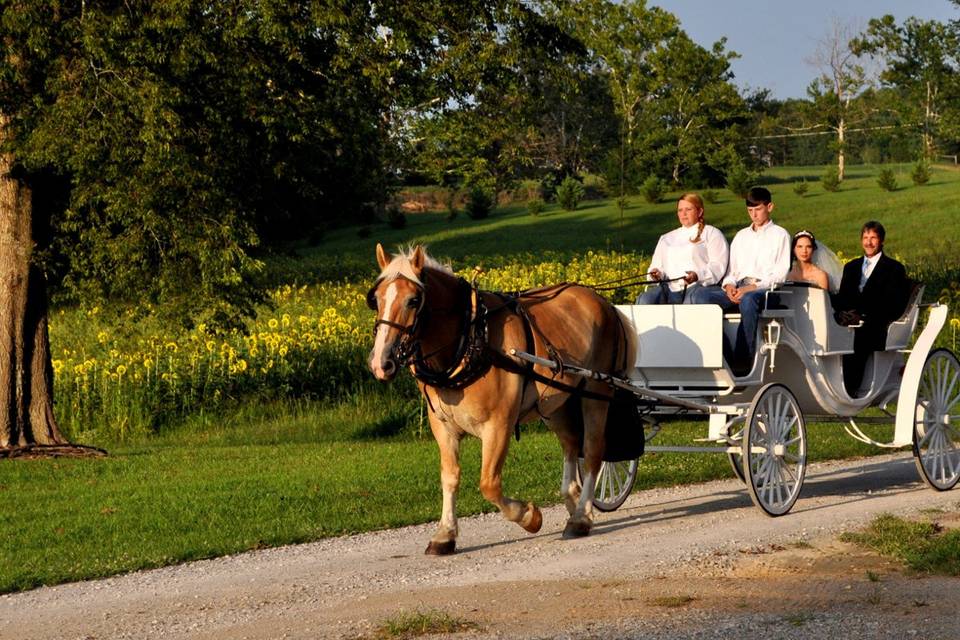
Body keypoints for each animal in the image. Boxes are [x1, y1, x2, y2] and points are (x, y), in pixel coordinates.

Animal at [364, 245, 632, 556]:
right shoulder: (442, 427)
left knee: (592, 451)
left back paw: (581, 518)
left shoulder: (499, 424)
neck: (470, 338)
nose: (381, 363)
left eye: (413, 300)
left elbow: (488, 484)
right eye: (376, 299)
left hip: (596, 390)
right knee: (570, 442)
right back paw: (573, 500)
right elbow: (450, 477)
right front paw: (445, 534)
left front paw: (529, 516)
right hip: (555, 401)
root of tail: (602, 300)